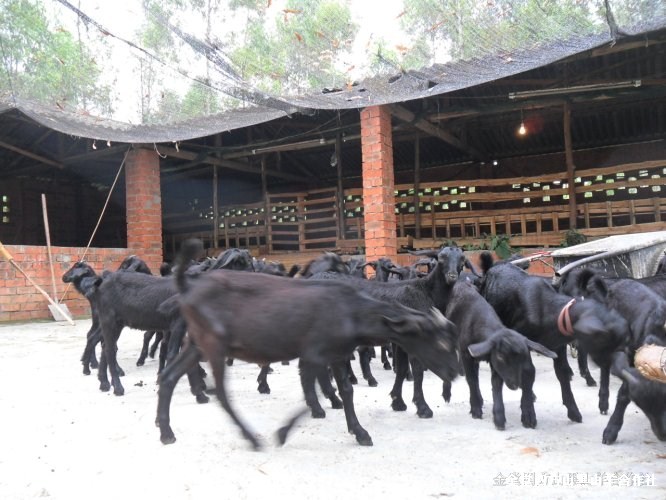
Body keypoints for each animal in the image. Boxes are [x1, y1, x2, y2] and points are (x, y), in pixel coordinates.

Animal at [156, 238, 460, 450]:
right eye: (437, 341)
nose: (454, 373)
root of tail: (188, 286)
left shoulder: (336, 353)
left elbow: (347, 390)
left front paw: (360, 430)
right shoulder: (316, 353)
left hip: (198, 343)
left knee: (169, 376)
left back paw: (166, 431)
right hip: (214, 344)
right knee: (220, 391)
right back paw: (250, 435)